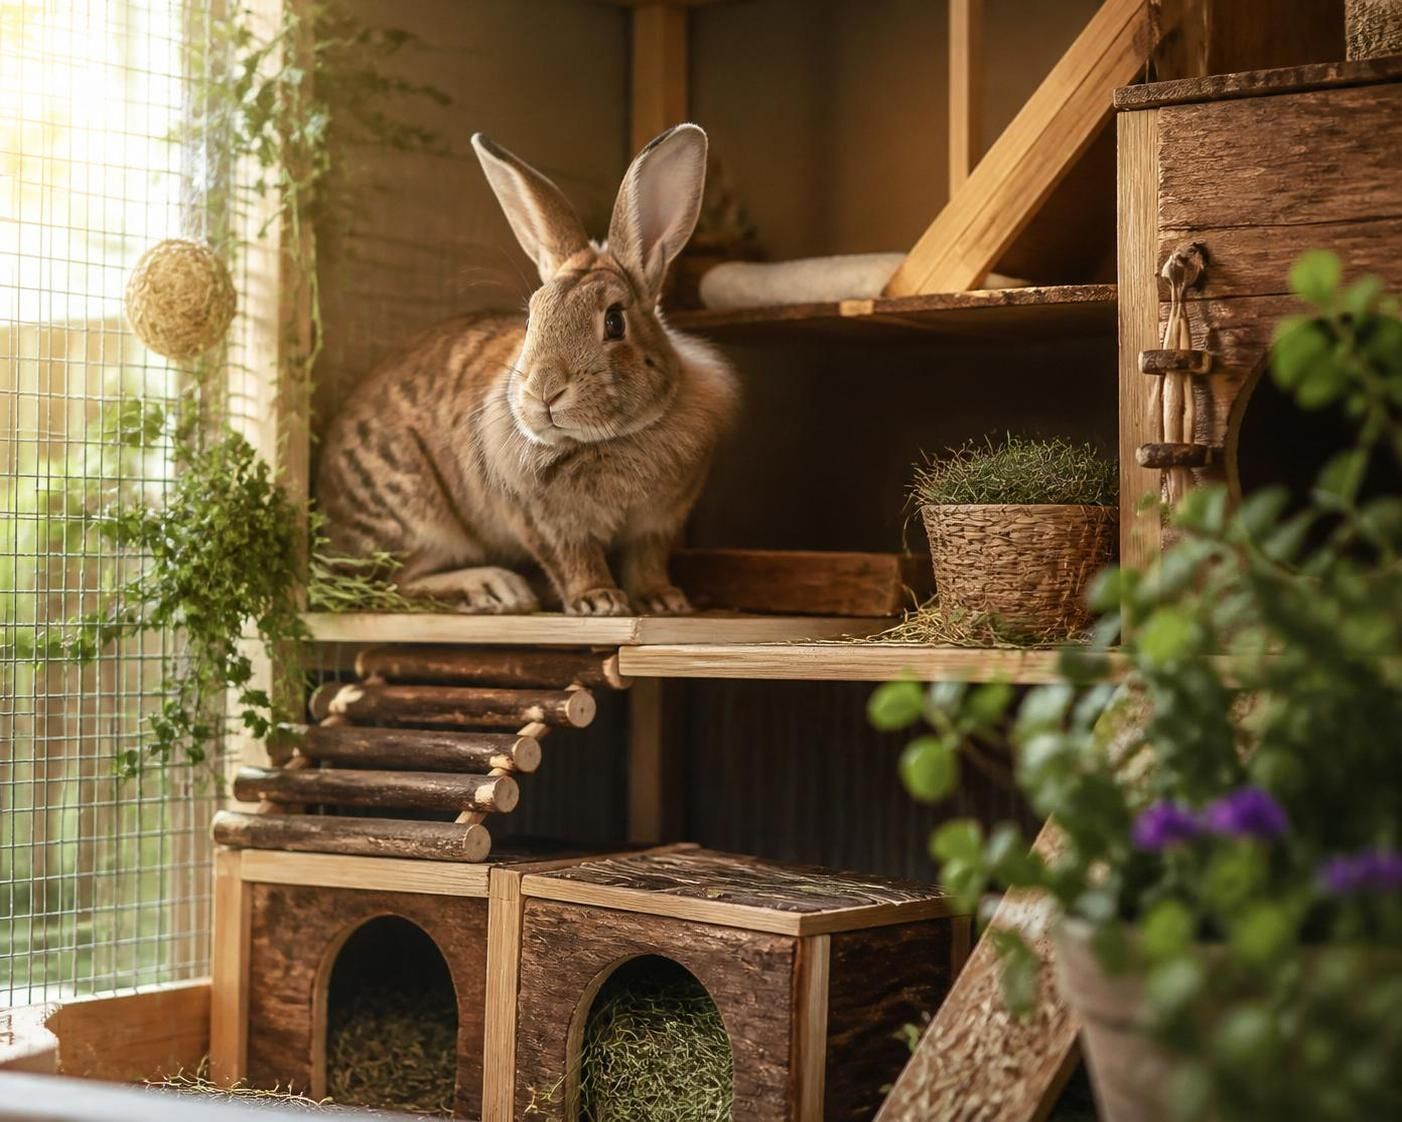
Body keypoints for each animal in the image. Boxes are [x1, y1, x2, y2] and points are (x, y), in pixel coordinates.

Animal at [316, 124, 738, 616]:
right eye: (531, 318)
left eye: (615, 321)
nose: (544, 392)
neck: (613, 439)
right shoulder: (544, 521)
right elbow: (573, 560)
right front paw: (600, 600)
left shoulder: (658, 525)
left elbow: (647, 561)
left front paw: (664, 601)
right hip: (413, 516)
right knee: (390, 586)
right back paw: (496, 588)